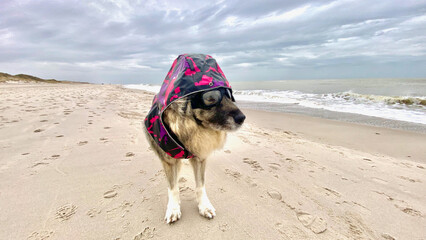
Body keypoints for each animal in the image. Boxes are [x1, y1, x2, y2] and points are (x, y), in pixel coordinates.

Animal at [145, 54, 246, 223]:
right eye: (211, 98)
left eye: (230, 95)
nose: (242, 118)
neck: (192, 127)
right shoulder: (169, 160)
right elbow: (173, 188)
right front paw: (173, 208)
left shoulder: (200, 158)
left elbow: (200, 186)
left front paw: (204, 206)